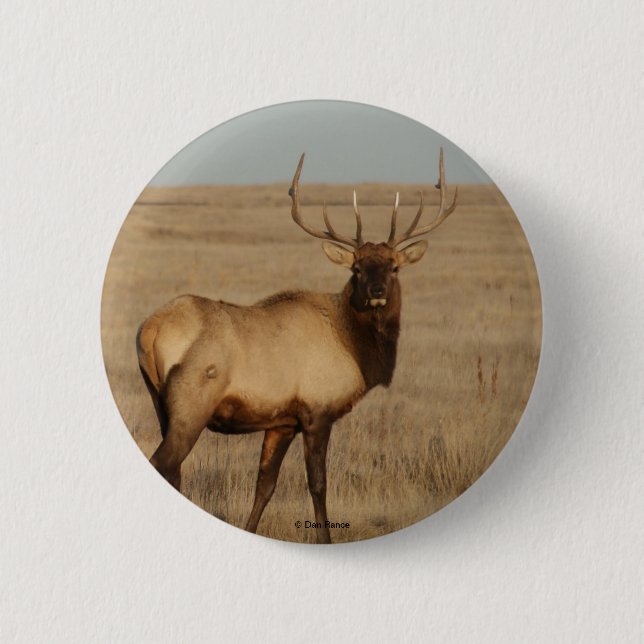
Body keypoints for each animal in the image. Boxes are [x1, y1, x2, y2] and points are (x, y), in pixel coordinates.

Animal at [136, 148, 458, 543]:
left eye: (394, 267)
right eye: (356, 269)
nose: (377, 291)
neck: (355, 347)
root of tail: (150, 329)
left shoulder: (282, 422)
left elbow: (265, 485)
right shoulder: (317, 411)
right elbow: (318, 484)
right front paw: (326, 539)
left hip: (159, 404)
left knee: (174, 470)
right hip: (191, 406)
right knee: (164, 464)